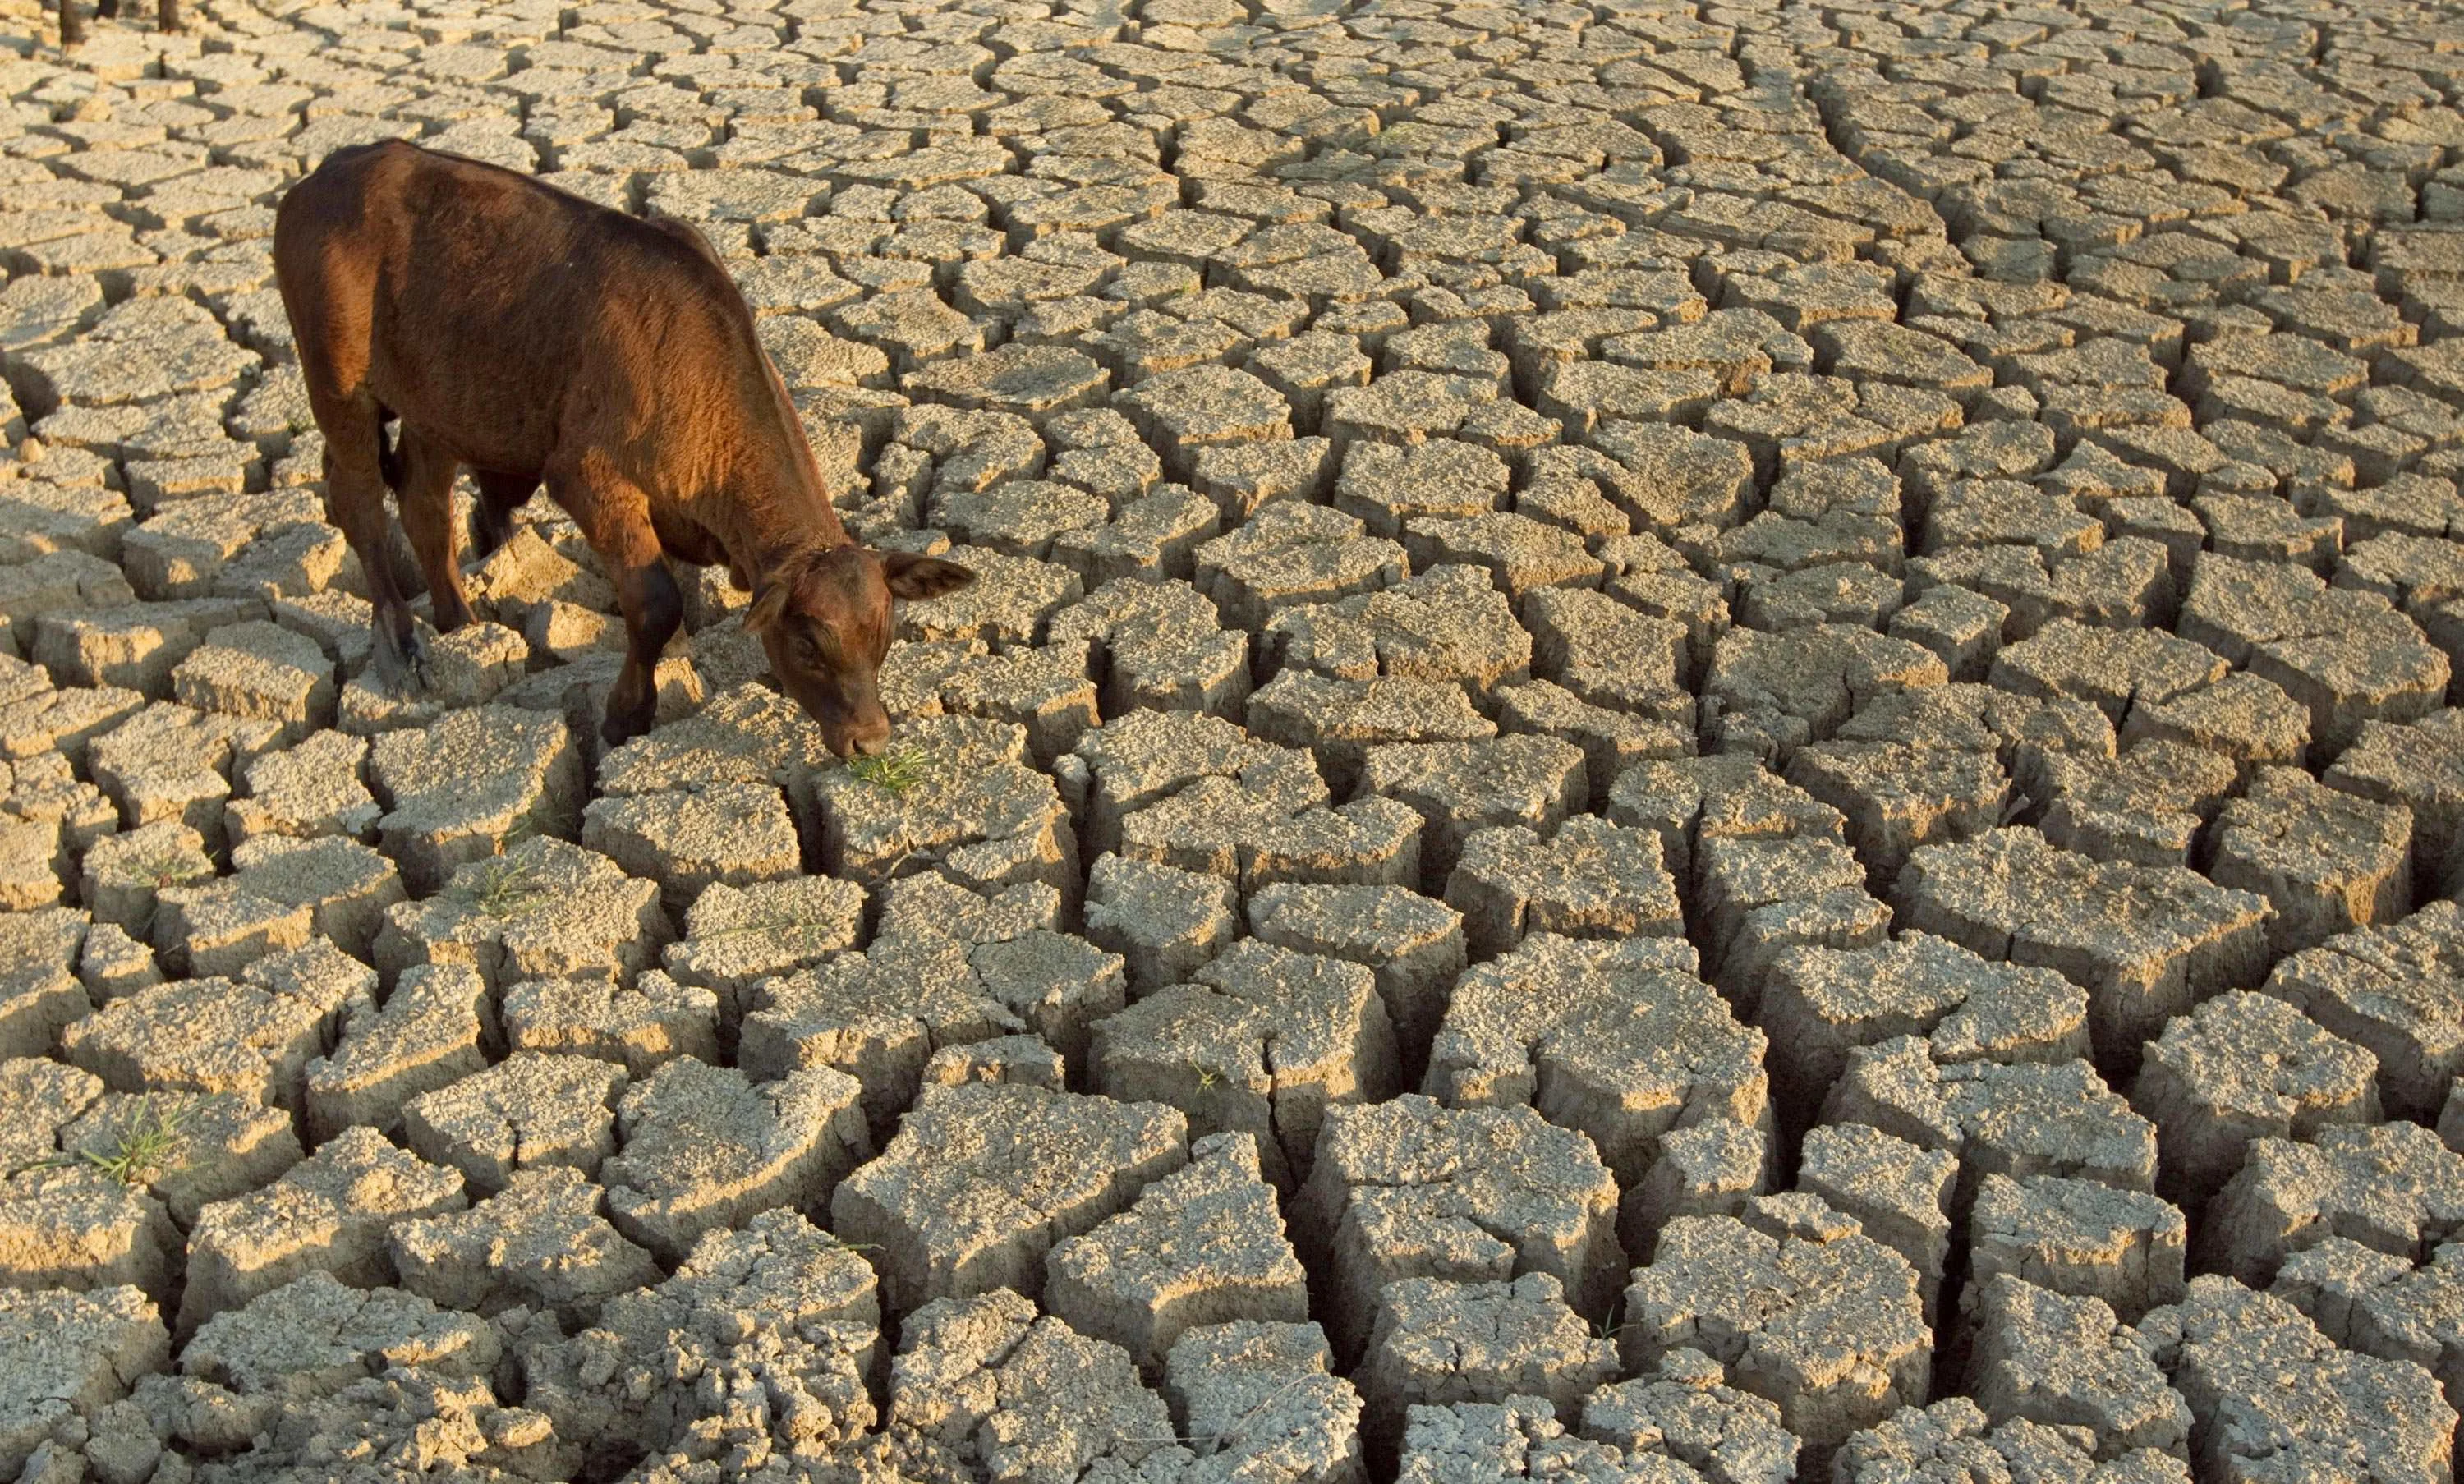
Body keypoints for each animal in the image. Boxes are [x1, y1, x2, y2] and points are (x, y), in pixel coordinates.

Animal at [269, 141, 961, 749]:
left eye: (883, 639)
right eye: (808, 645)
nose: (869, 739)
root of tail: (328, 173)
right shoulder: (587, 475)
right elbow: (656, 603)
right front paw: (627, 712)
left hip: (435, 399)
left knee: (424, 503)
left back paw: (457, 621)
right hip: (337, 383)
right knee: (359, 498)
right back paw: (400, 641)